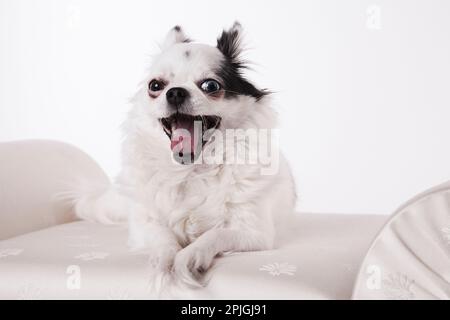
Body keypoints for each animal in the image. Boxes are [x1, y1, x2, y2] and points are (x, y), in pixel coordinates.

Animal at [74, 22, 296, 292]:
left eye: (211, 86)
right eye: (155, 86)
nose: (176, 92)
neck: (192, 169)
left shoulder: (255, 233)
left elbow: (213, 235)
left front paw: (187, 260)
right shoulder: (143, 226)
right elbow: (164, 239)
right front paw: (164, 262)